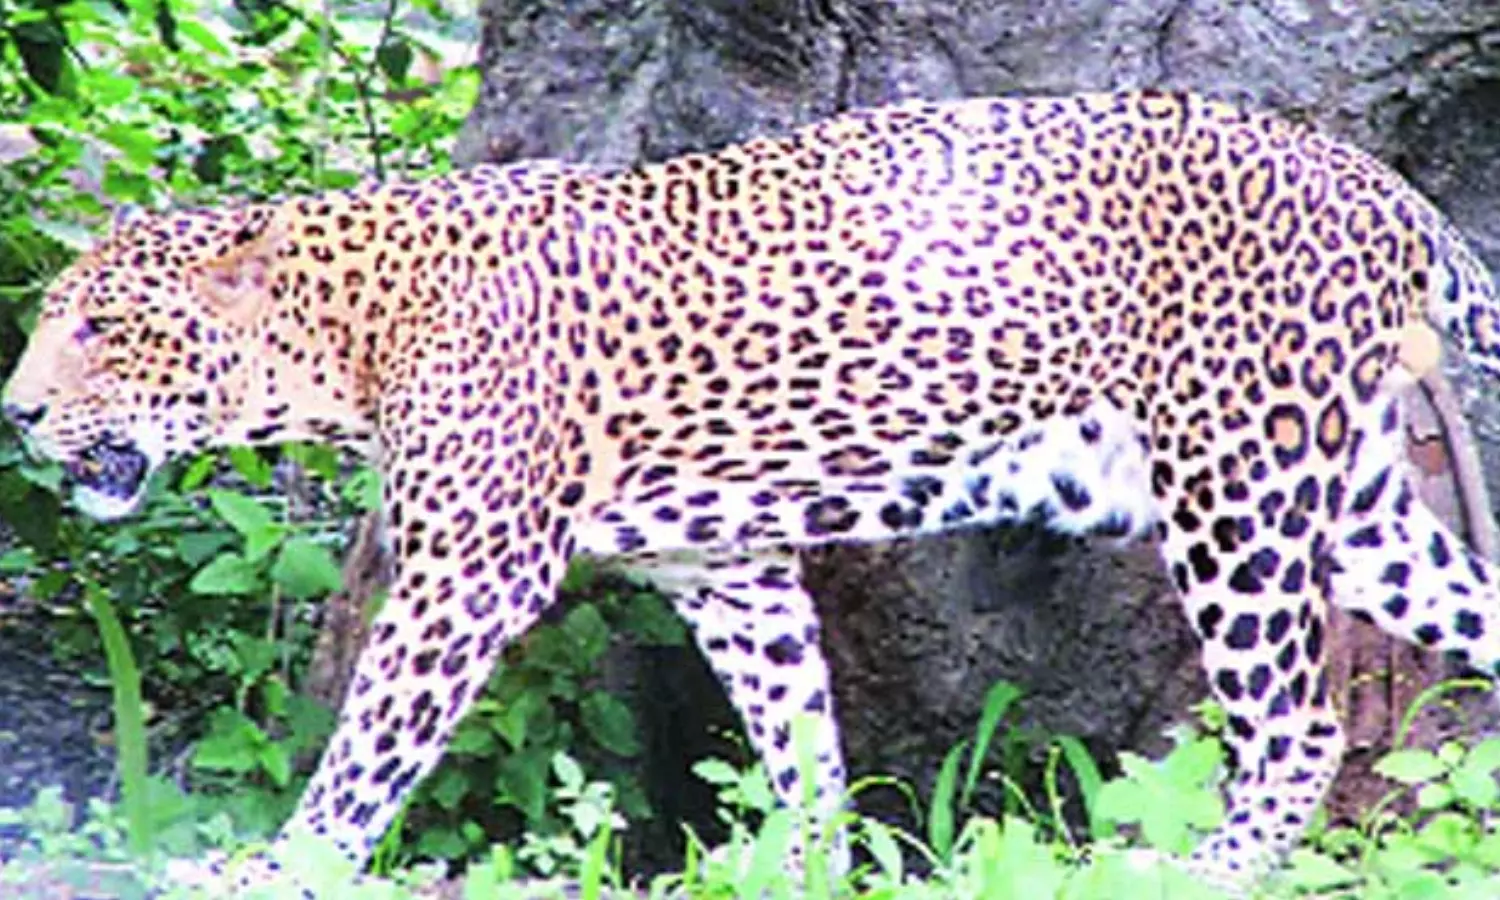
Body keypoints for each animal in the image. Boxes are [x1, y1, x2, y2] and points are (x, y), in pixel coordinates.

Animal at [6, 90, 1500, 893]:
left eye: (103, 327)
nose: (14, 410)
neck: (349, 333)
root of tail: (1388, 187)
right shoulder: (729, 572)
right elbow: (803, 745)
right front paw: (812, 872)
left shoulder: (468, 577)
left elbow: (368, 751)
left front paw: (279, 869)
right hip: (1353, 507)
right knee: (1477, 609)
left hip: (1238, 486)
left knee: (1297, 726)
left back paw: (1190, 874)